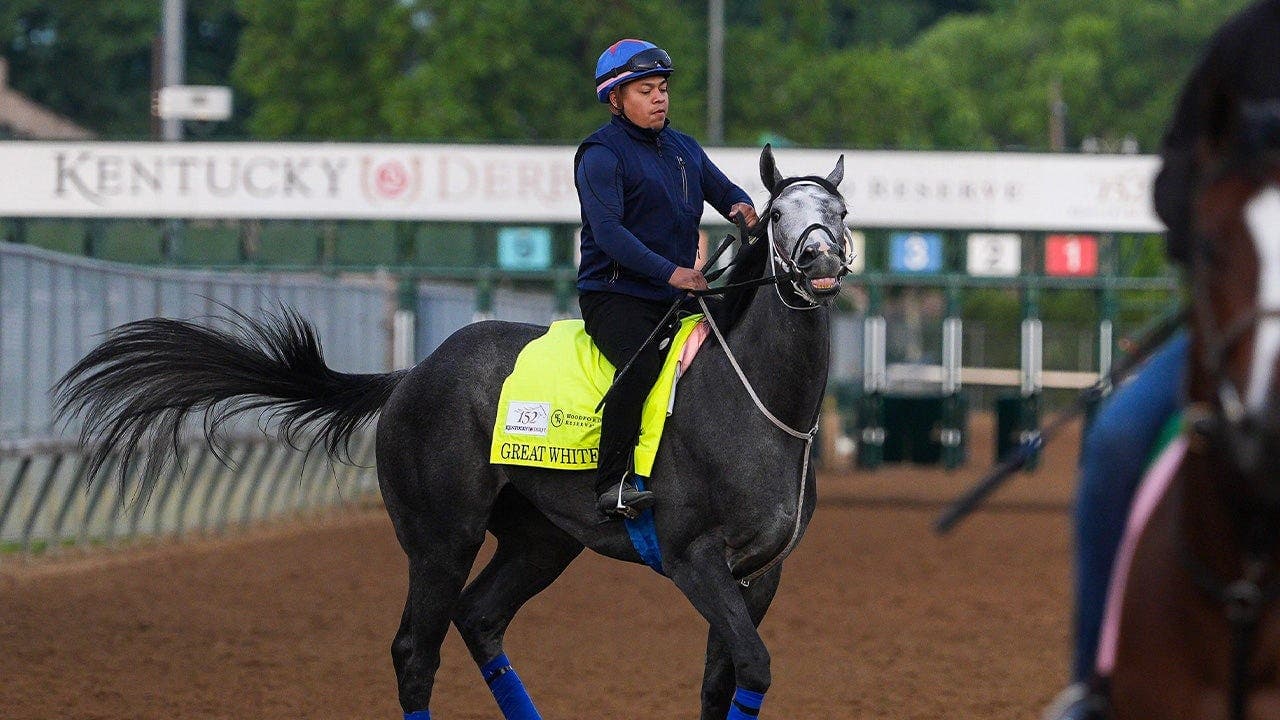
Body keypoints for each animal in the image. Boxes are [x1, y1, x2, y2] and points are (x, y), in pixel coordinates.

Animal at [52, 145, 854, 720]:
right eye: (778, 216)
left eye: (840, 210)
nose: (820, 261)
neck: (753, 403)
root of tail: (412, 372)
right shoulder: (694, 560)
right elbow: (753, 665)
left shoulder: (759, 570)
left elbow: (726, 680)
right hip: (441, 538)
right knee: (416, 649)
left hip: (539, 540)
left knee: (479, 620)